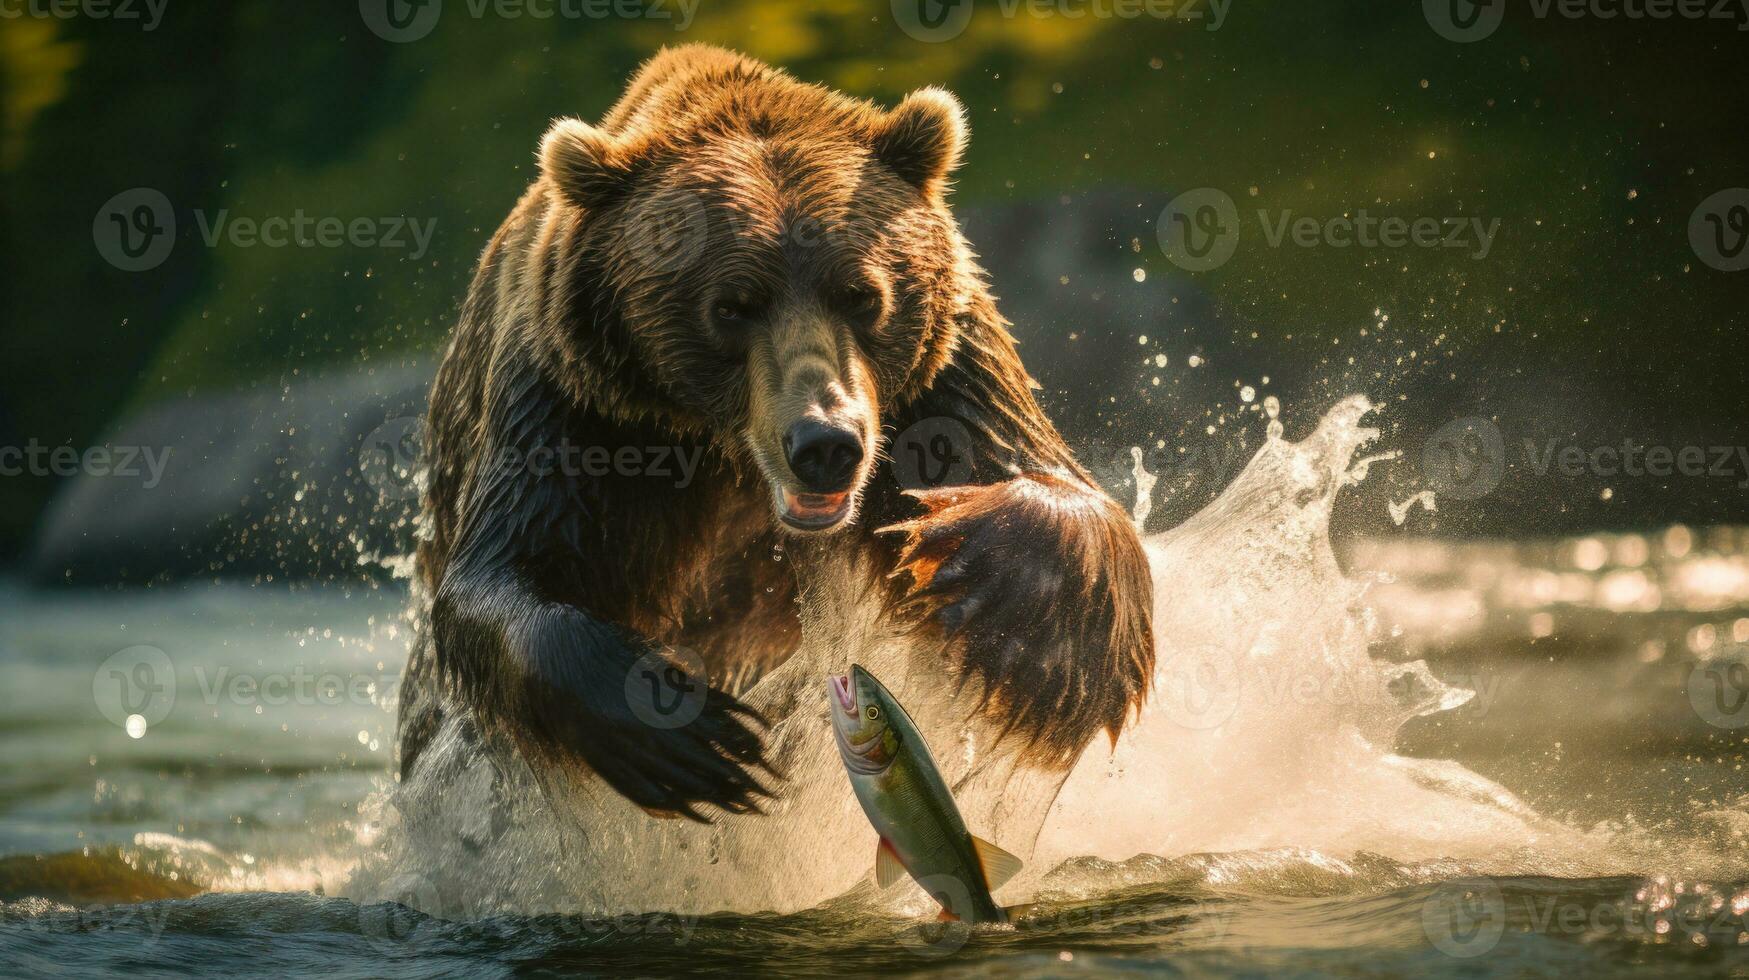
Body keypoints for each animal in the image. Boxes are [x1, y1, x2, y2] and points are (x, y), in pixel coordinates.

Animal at [400, 45, 1154, 822]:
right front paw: (690, 733)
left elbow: (1046, 481)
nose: (824, 443)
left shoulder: (943, 375)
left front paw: (1006, 605)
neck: (725, 456)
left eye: (861, 294)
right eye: (732, 305)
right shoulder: (574, 402)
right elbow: (506, 575)